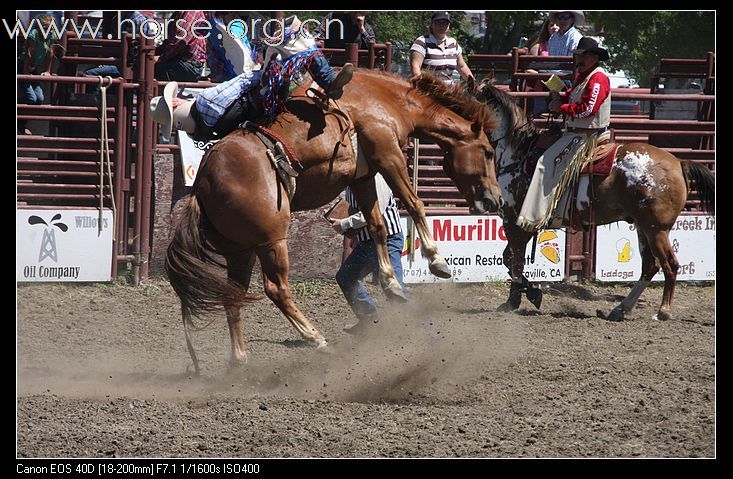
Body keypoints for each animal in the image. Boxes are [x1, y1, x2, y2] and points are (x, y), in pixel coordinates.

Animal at [164, 71, 504, 372]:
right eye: (488, 152)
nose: (496, 200)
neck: (385, 99)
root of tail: (203, 181)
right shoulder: (388, 154)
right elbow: (414, 203)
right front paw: (437, 261)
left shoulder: (363, 176)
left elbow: (377, 226)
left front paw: (391, 282)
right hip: (271, 240)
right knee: (276, 289)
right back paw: (316, 339)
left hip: (240, 250)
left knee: (233, 298)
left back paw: (239, 361)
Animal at [474, 81, 716, 322]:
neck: (518, 154)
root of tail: (679, 162)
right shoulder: (520, 225)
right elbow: (509, 259)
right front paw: (532, 294)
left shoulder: (514, 220)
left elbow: (513, 260)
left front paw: (514, 300)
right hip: (643, 227)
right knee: (650, 265)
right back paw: (620, 309)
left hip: (656, 229)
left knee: (670, 264)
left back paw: (662, 311)